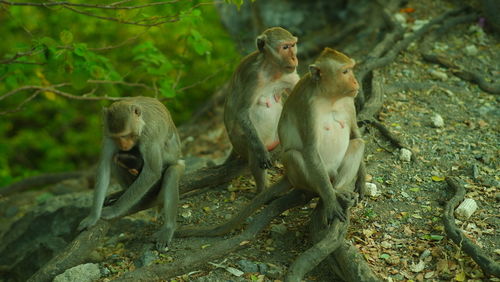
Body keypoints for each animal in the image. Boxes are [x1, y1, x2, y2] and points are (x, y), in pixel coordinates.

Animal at [79, 97, 185, 249]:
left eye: (125, 135)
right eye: (117, 137)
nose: (123, 145)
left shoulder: (150, 133)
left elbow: (152, 172)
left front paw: (114, 210)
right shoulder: (107, 134)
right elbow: (104, 166)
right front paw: (93, 216)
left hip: (177, 167)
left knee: (171, 173)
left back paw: (168, 228)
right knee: (115, 160)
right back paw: (121, 192)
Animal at [224, 26, 298, 193]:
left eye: (293, 45)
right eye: (285, 47)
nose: (294, 58)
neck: (272, 70)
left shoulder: (289, 74)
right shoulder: (253, 77)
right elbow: (242, 112)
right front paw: (261, 153)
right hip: (240, 142)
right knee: (252, 153)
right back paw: (262, 190)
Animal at [278, 48, 368, 224]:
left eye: (351, 69)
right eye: (345, 71)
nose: (356, 82)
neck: (330, 97)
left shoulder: (349, 101)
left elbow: (355, 133)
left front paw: (361, 179)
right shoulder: (308, 108)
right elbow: (311, 149)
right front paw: (331, 202)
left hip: (334, 171)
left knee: (358, 143)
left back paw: (339, 189)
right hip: (311, 176)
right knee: (293, 156)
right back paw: (330, 194)